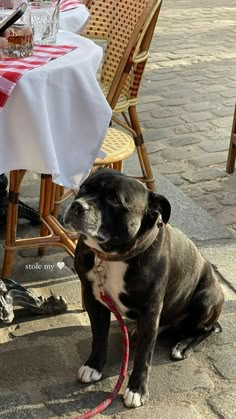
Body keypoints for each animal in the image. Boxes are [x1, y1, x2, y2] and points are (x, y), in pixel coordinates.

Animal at [64, 168, 223, 410]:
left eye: (113, 199)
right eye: (83, 188)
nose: (77, 205)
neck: (113, 255)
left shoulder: (150, 310)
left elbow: (143, 356)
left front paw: (136, 389)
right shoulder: (93, 298)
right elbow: (98, 336)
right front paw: (94, 365)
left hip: (205, 300)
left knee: (209, 328)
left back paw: (183, 345)